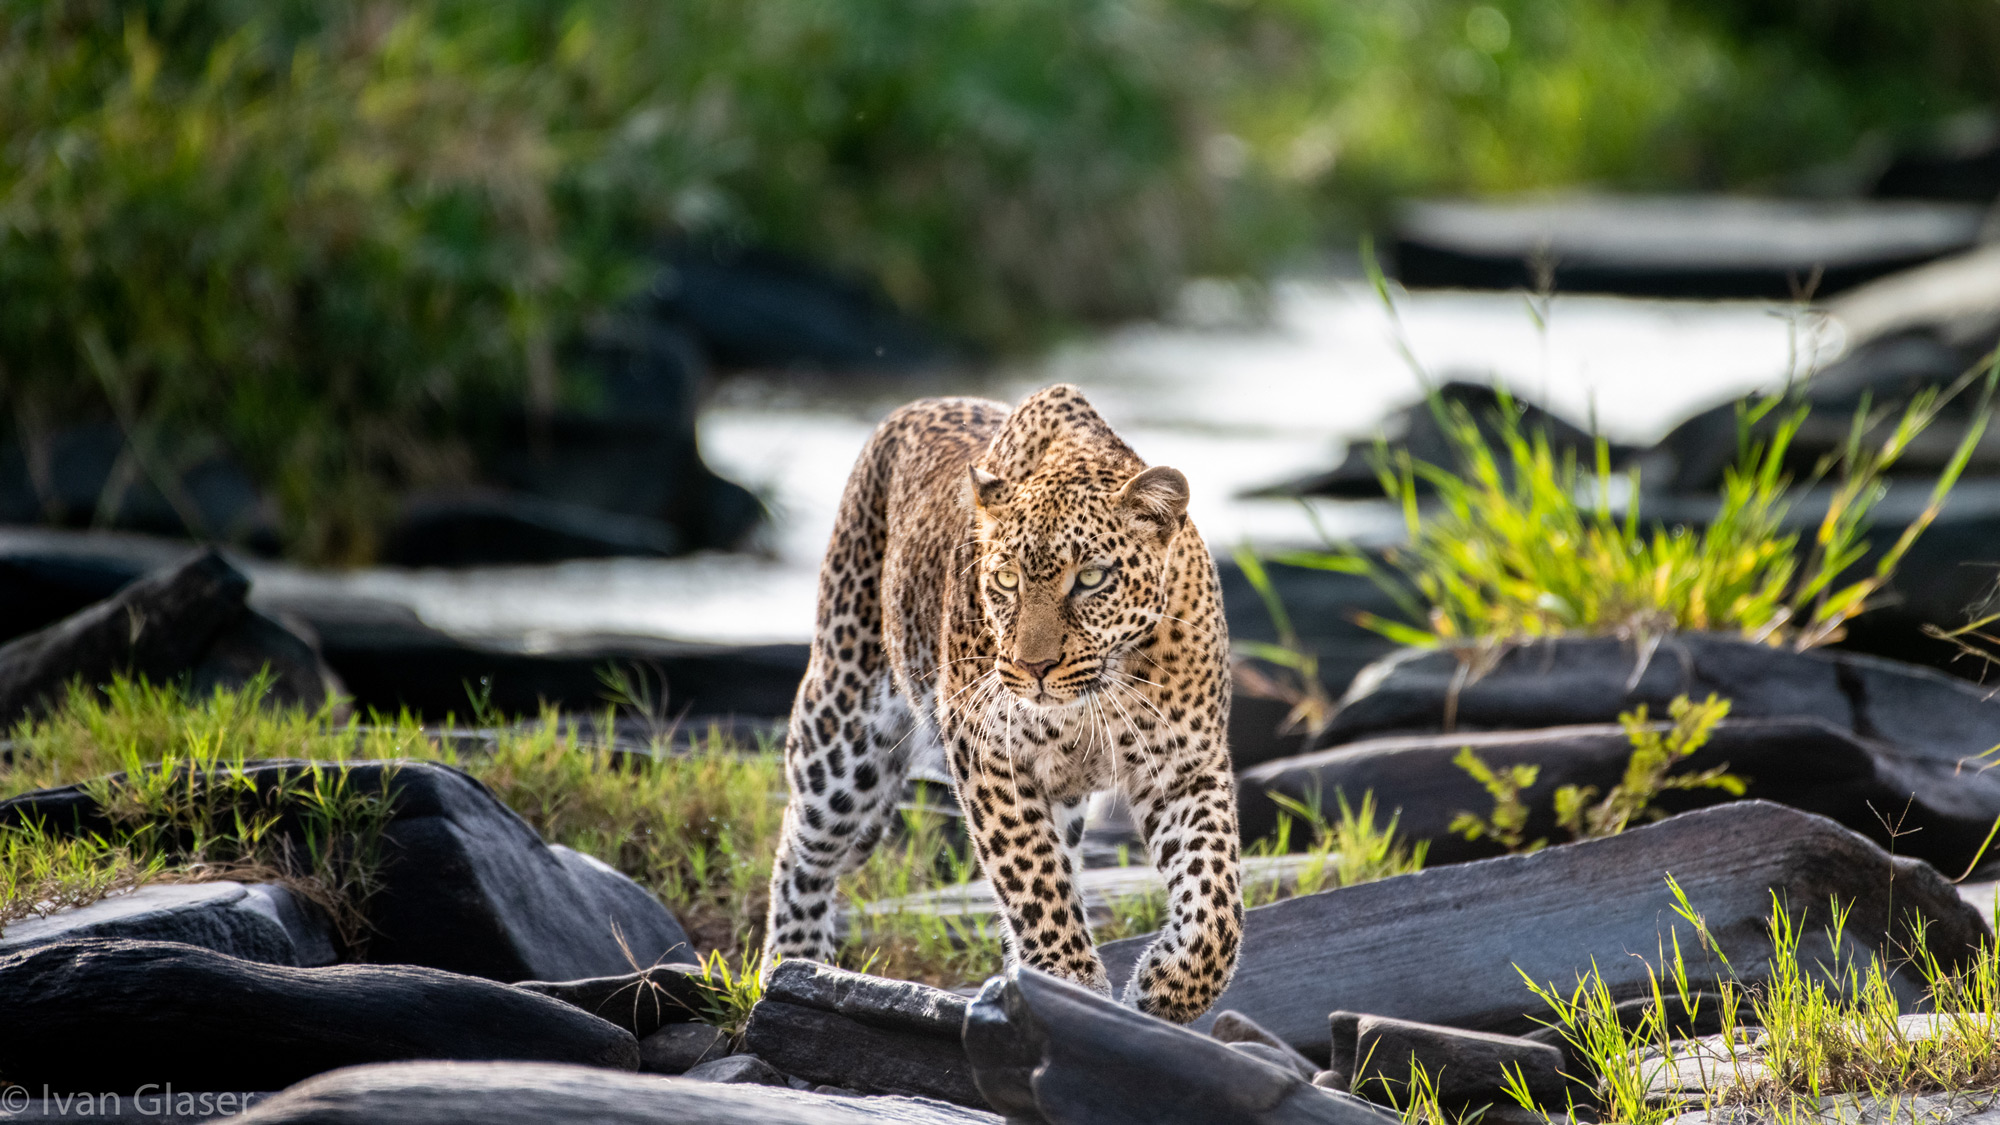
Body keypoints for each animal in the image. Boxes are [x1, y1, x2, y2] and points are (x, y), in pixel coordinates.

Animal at [760, 380, 1240, 1020]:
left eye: (1092, 579)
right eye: (1006, 580)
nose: (1033, 668)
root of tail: (914, 406)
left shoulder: (1185, 766)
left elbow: (1216, 901)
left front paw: (1161, 988)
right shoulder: (988, 754)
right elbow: (1034, 879)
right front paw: (1069, 987)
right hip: (843, 739)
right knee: (802, 849)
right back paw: (792, 967)